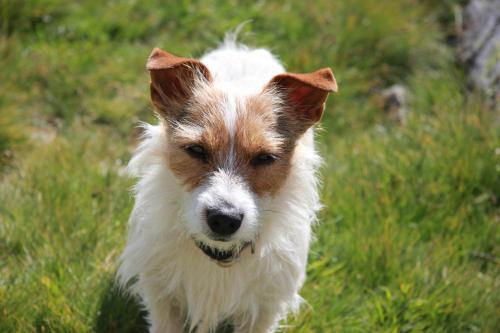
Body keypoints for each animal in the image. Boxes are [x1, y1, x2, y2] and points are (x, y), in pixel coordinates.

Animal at [118, 37, 336, 330]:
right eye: (196, 150)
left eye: (265, 158)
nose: (224, 219)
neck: (220, 258)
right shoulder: (162, 295)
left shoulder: (264, 309)